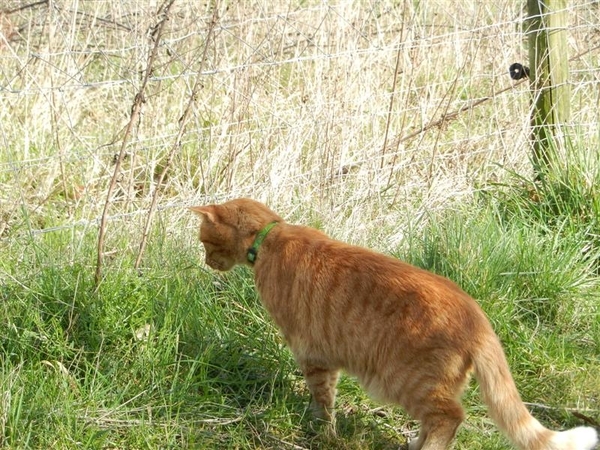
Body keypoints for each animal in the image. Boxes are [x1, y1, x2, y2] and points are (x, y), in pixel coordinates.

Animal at [191, 198, 596, 450]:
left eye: (204, 241)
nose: (206, 262)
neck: (269, 238)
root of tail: (478, 318)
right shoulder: (326, 358)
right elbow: (327, 396)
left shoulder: (312, 354)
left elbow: (323, 400)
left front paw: (323, 432)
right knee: (439, 419)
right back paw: (415, 442)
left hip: (403, 380)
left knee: (450, 416)